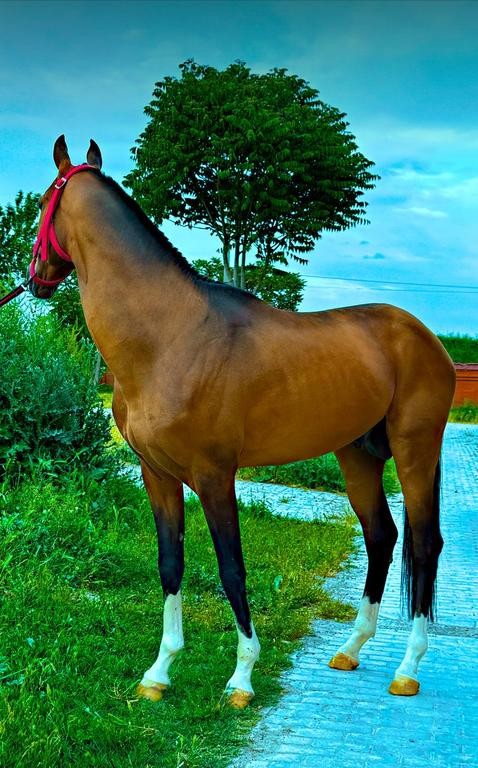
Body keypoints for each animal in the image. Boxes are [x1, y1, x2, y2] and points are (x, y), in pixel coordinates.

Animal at [28, 136, 456, 708]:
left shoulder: (214, 476)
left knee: (424, 544)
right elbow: (170, 565)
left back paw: (406, 669)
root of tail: (424, 336)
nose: (37, 279)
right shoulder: (156, 476)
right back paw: (350, 649)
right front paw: (159, 673)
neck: (168, 337)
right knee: (381, 536)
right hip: (356, 454)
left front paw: (242, 677)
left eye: (39, 204)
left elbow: (232, 569)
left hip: (415, 449)